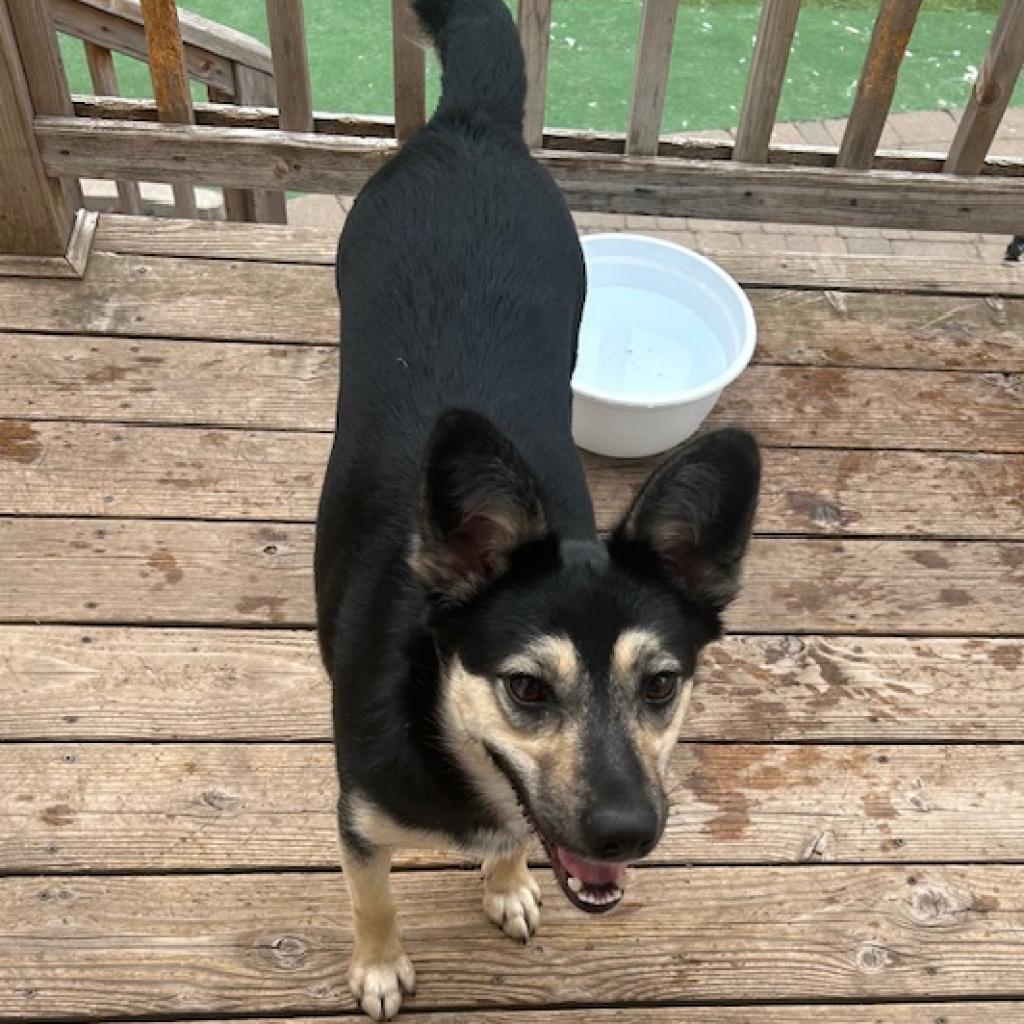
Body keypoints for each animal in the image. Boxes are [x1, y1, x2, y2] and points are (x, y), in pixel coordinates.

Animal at [315, 0, 765, 1015]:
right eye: (526, 689)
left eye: (662, 685)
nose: (626, 834)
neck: (439, 718)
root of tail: (472, 124)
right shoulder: (357, 817)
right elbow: (370, 896)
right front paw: (377, 964)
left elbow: (520, 836)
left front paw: (509, 881)